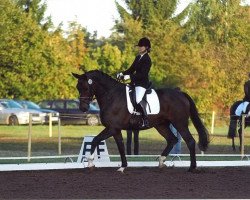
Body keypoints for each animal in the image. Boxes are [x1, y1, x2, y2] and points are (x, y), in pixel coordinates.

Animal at [72, 70, 209, 172]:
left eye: (86, 87)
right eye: (78, 87)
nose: (83, 108)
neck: (111, 96)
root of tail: (181, 94)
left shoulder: (112, 128)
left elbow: (95, 140)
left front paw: (90, 163)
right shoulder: (115, 129)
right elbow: (120, 146)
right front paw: (122, 167)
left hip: (180, 124)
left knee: (190, 141)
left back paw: (192, 167)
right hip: (161, 125)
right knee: (172, 139)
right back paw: (161, 162)